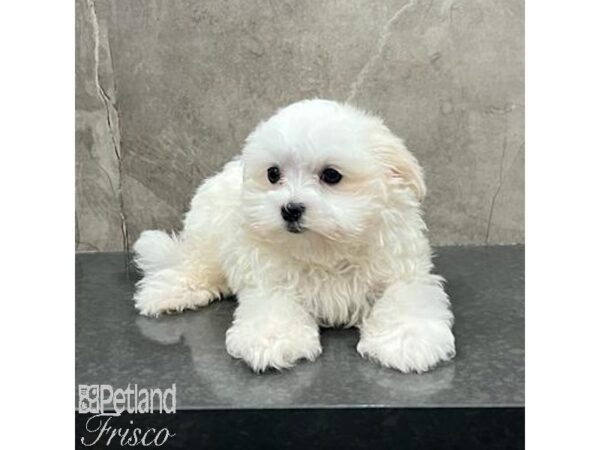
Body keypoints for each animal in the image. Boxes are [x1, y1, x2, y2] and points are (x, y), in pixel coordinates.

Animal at [134, 100, 454, 374]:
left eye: (331, 175)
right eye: (273, 174)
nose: (290, 209)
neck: (326, 251)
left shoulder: (403, 271)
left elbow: (405, 299)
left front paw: (408, 340)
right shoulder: (269, 278)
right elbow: (274, 304)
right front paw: (272, 339)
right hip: (206, 233)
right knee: (194, 264)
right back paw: (168, 291)